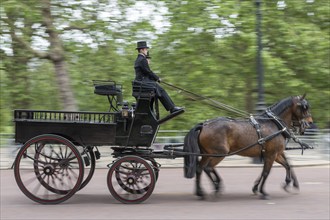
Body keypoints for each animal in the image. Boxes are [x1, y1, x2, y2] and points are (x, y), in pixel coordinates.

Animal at [184, 94, 314, 199]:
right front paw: (263, 192)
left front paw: (286, 183)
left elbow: (286, 165)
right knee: (208, 168)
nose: (310, 122)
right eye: (304, 107)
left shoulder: (275, 154)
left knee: (200, 169)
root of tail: (204, 125)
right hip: (219, 153)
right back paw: (216, 188)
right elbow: (266, 172)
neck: (273, 123)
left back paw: (201, 192)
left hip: (208, 154)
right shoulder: (271, 154)